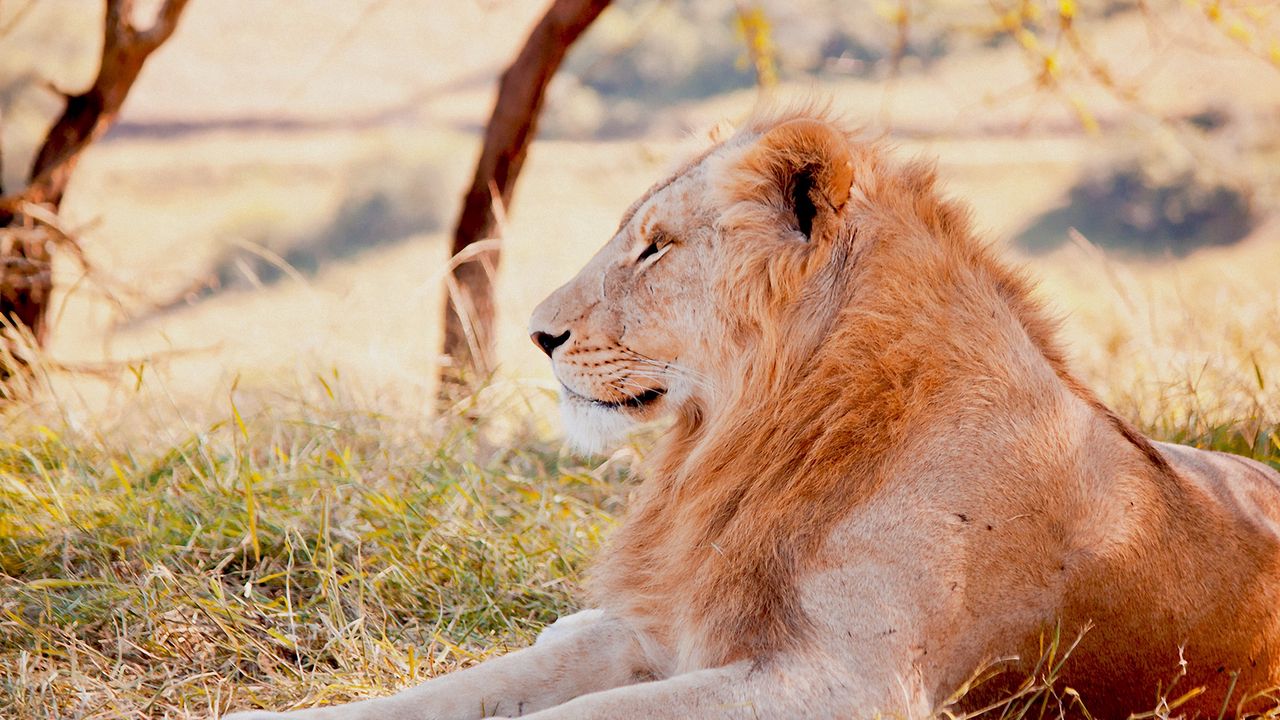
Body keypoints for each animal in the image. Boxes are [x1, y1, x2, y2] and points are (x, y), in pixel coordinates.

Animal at [230, 103, 1280, 712]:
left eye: (655, 247)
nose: (536, 334)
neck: (749, 438)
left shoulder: (842, 685)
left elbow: (586, 716)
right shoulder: (666, 634)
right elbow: (479, 688)